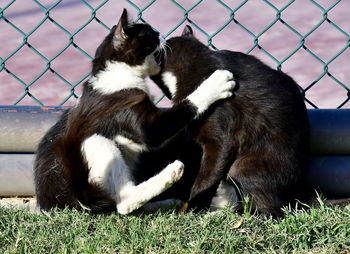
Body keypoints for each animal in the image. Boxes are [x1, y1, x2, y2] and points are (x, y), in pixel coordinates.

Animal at [33, 11, 235, 214]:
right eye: (149, 33)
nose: (160, 32)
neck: (119, 74)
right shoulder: (145, 126)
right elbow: (182, 108)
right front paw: (214, 84)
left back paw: (166, 202)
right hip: (94, 142)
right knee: (124, 203)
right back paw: (171, 174)